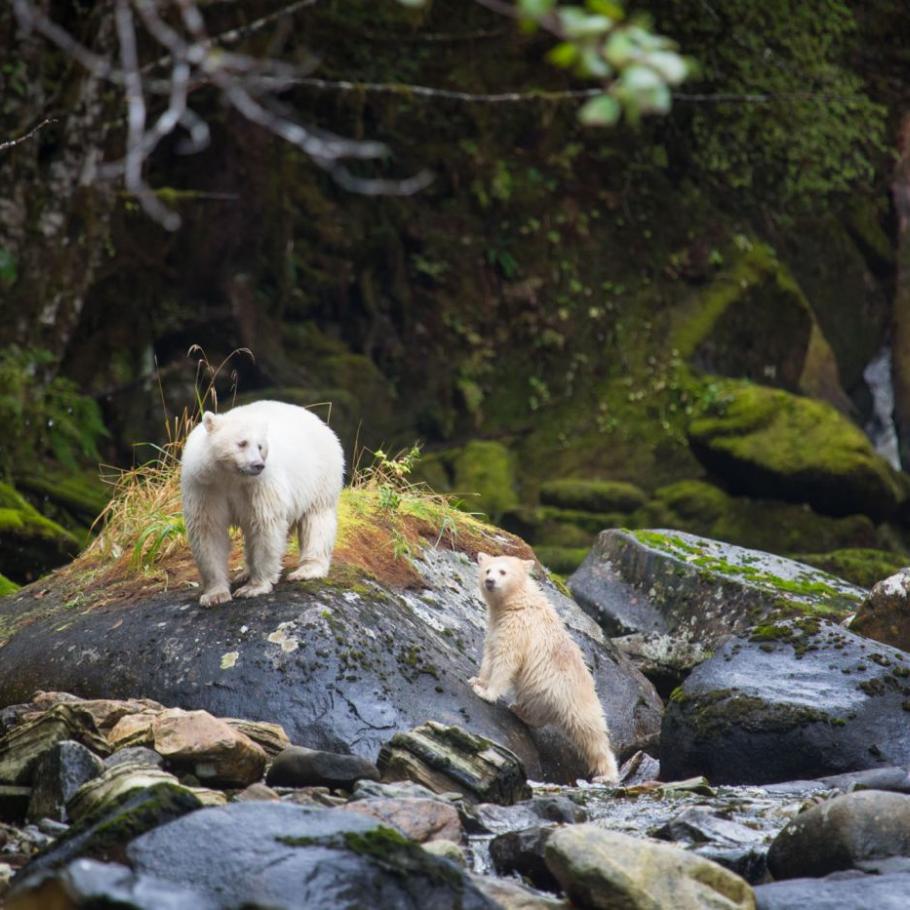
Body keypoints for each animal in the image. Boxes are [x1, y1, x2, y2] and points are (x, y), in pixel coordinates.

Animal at [180, 400, 344, 604]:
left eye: (260, 446)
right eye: (242, 443)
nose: (258, 465)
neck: (230, 476)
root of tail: (319, 422)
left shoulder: (259, 485)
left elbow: (265, 524)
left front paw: (253, 588)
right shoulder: (205, 486)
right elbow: (208, 529)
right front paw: (214, 595)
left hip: (320, 475)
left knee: (316, 519)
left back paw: (307, 570)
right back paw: (244, 573)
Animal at [470, 556, 620, 784]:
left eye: (502, 571)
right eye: (487, 570)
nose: (490, 581)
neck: (518, 602)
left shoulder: (519, 627)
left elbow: (507, 660)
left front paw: (486, 693)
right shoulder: (497, 625)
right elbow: (490, 654)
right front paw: (477, 681)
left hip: (574, 696)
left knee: (591, 734)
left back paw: (606, 775)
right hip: (544, 693)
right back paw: (519, 710)